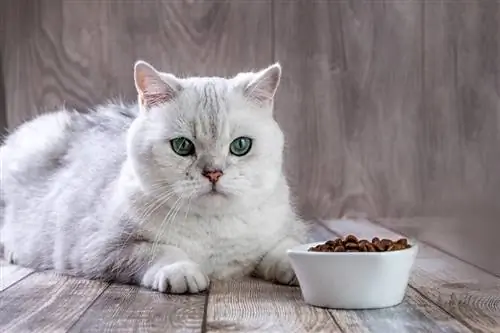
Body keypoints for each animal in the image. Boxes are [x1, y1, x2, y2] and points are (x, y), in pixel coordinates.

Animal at [0, 60, 310, 294]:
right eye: (182, 146)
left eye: (241, 145)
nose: (213, 172)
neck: (213, 228)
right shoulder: (101, 248)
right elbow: (157, 251)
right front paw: (182, 271)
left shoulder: (289, 228)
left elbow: (288, 247)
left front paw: (295, 268)